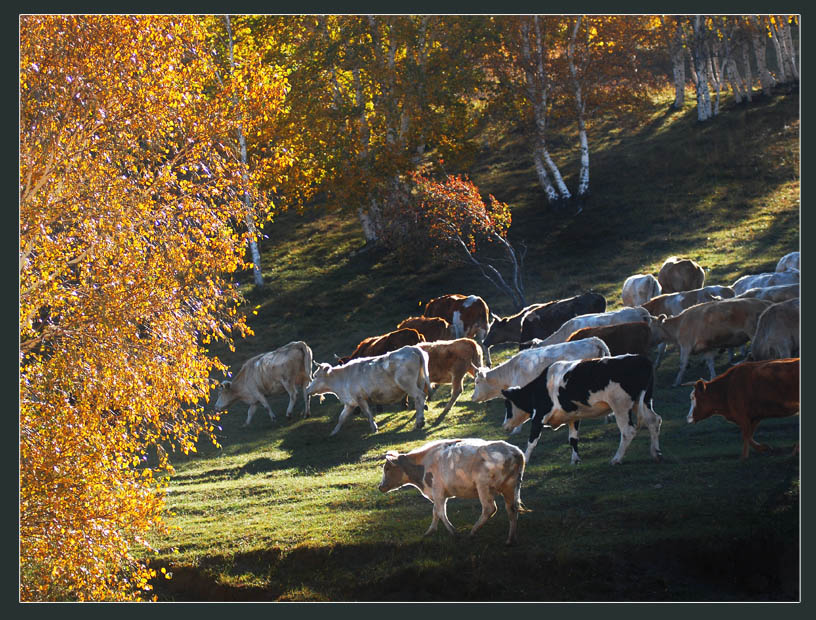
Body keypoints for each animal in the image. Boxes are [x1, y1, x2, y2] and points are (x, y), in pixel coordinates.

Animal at [306, 344, 434, 436]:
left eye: (315, 375)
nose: (307, 389)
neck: (343, 377)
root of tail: (412, 348)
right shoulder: (350, 403)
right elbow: (341, 417)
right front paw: (333, 432)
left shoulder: (360, 398)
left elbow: (367, 413)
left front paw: (374, 428)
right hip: (420, 381)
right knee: (420, 400)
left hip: (408, 384)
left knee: (419, 396)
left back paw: (419, 422)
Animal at [380, 438, 524, 544]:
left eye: (387, 468)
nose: (380, 487)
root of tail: (515, 452)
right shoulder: (439, 495)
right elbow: (435, 512)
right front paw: (430, 531)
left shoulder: (438, 491)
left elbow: (440, 512)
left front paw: (454, 532)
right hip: (512, 486)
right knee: (512, 508)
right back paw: (510, 539)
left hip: (484, 486)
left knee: (489, 508)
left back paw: (472, 533)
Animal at [498, 354, 664, 464]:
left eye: (507, 405)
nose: (504, 425)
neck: (540, 386)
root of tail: (641, 359)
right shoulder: (573, 416)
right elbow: (573, 439)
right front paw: (575, 460)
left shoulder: (539, 416)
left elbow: (532, 441)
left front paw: (525, 460)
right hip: (643, 401)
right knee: (654, 421)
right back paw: (656, 453)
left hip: (621, 406)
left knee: (628, 431)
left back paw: (616, 459)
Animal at [648, 296, 776, 388]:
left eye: (651, 327)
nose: (649, 341)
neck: (679, 324)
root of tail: (766, 303)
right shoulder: (707, 348)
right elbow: (710, 363)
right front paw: (713, 377)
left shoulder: (685, 346)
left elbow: (682, 365)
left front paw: (676, 382)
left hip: (754, 334)